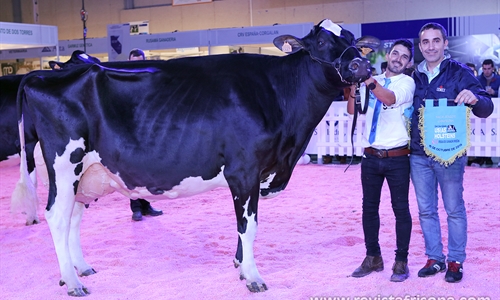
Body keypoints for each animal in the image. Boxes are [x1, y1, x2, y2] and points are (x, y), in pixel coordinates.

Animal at [10, 20, 372, 296]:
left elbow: (242, 227)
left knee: (73, 216)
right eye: (322, 41)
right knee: (57, 216)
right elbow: (249, 225)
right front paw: (253, 277)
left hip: (87, 173)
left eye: (353, 41)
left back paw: (81, 268)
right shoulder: (244, 169)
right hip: (64, 164)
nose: (363, 65)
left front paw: (240, 265)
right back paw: (71, 282)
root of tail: (43, 74)